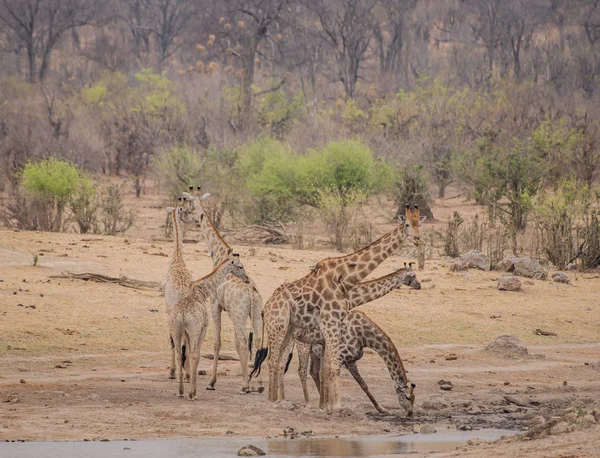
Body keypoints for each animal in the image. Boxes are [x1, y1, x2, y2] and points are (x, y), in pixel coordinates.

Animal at [169, 258, 251, 400]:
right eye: (240, 266)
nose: (247, 279)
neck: (202, 291)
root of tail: (182, 314)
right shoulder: (203, 328)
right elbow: (196, 355)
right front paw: (193, 392)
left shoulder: (186, 333)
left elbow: (187, 354)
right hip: (195, 330)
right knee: (193, 355)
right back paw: (191, 394)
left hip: (176, 330)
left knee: (180, 355)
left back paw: (180, 391)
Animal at [178, 188, 262, 392]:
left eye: (188, 202)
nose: (183, 210)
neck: (218, 254)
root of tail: (251, 292)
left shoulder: (215, 304)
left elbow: (217, 342)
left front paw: (211, 382)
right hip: (256, 312)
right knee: (258, 341)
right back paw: (260, 384)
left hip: (238, 314)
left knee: (242, 342)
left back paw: (245, 385)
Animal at [253, 206, 426, 410]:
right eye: (407, 224)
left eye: (419, 223)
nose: (417, 238)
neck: (347, 280)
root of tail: (266, 307)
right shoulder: (331, 326)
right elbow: (332, 368)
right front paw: (335, 406)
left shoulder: (329, 331)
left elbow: (327, 369)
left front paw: (327, 405)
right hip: (279, 329)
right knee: (275, 362)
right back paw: (276, 401)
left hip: (288, 331)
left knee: (280, 363)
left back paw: (279, 400)